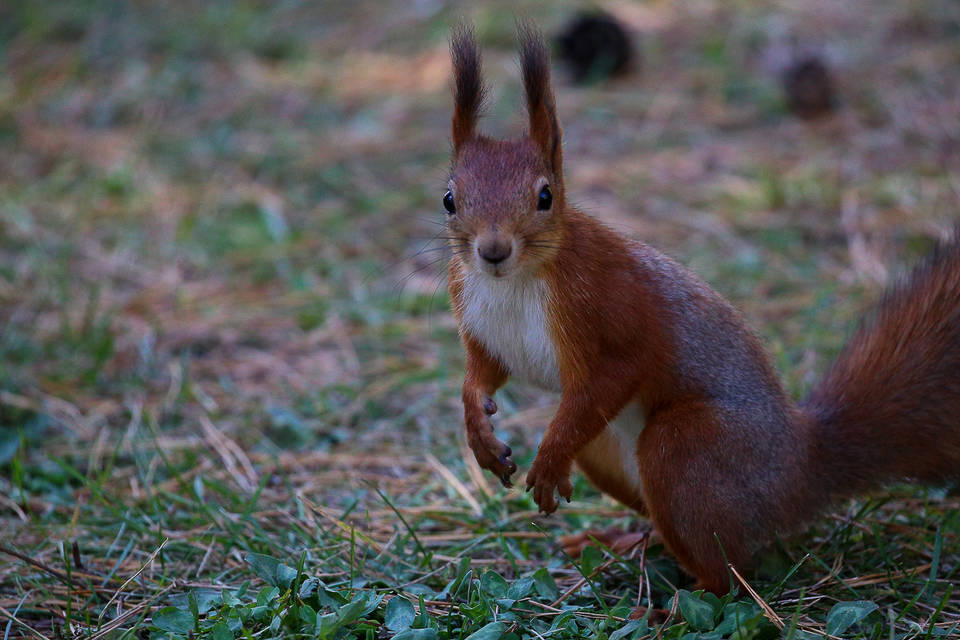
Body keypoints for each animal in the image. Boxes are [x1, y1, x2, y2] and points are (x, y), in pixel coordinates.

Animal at [442, 23, 960, 596]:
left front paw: (549, 461)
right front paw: (478, 433)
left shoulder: (608, 308)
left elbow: (616, 372)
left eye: (545, 197)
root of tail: (799, 471)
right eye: (449, 199)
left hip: (687, 450)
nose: (492, 250)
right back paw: (628, 542)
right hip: (608, 451)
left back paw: (669, 603)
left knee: (730, 572)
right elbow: (481, 374)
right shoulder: (478, 320)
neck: (514, 283)